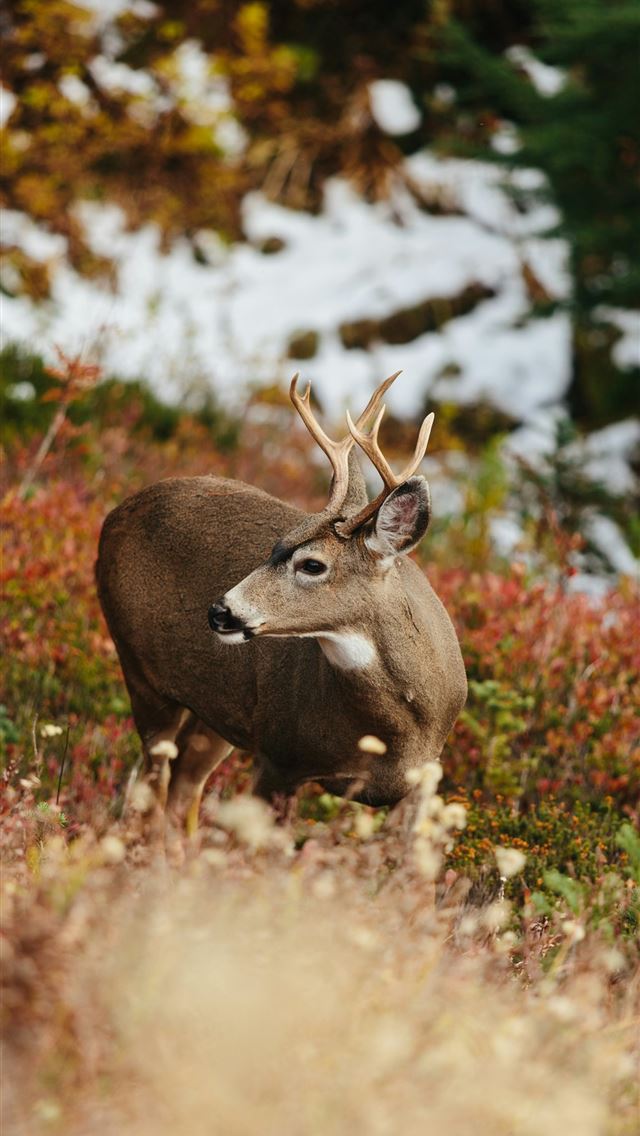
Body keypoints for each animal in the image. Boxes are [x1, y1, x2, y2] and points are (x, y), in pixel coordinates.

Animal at [96, 371, 467, 834]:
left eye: (312, 564)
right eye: (275, 545)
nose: (219, 611)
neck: (396, 734)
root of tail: (113, 515)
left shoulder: (423, 782)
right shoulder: (278, 756)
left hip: (217, 711)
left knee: (183, 784)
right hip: (140, 668)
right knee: (153, 782)